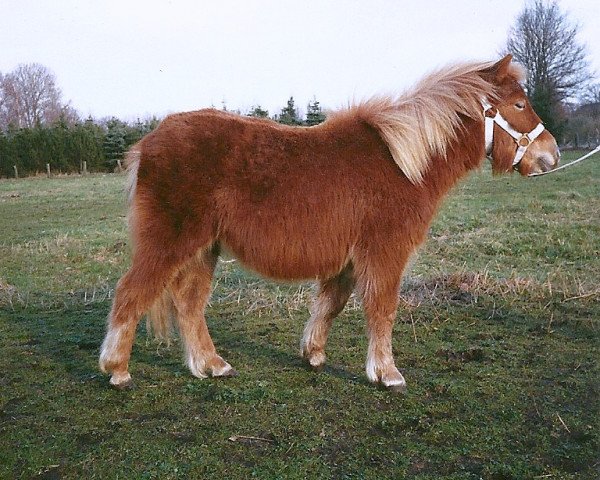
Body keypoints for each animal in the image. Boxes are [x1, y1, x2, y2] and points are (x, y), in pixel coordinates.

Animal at [99, 56, 556, 392]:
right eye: (518, 105)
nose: (550, 155)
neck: (403, 163)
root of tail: (146, 144)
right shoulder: (384, 253)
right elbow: (382, 310)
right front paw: (386, 374)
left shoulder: (349, 259)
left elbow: (330, 304)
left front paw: (314, 354)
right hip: (171, 242)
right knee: (132, 294)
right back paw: (117, 369)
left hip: (202, 248)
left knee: (189, 304)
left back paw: (211, 365)